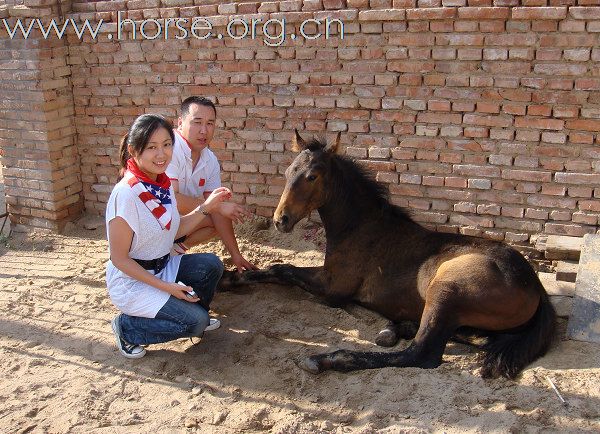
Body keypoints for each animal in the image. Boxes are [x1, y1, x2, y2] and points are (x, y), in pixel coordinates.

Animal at [221, 131, 556, 378]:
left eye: (313, 176)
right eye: (289, 171)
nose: (281, 220)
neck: (359, 225)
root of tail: (535, 285)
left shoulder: (333, 287)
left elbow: (284, 268)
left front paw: (230, 278)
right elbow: (279, 268)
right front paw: (229, 277)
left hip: (446, 289)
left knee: (422, 353)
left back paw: (329, 359)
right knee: (475, 338)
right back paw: (395, 328)